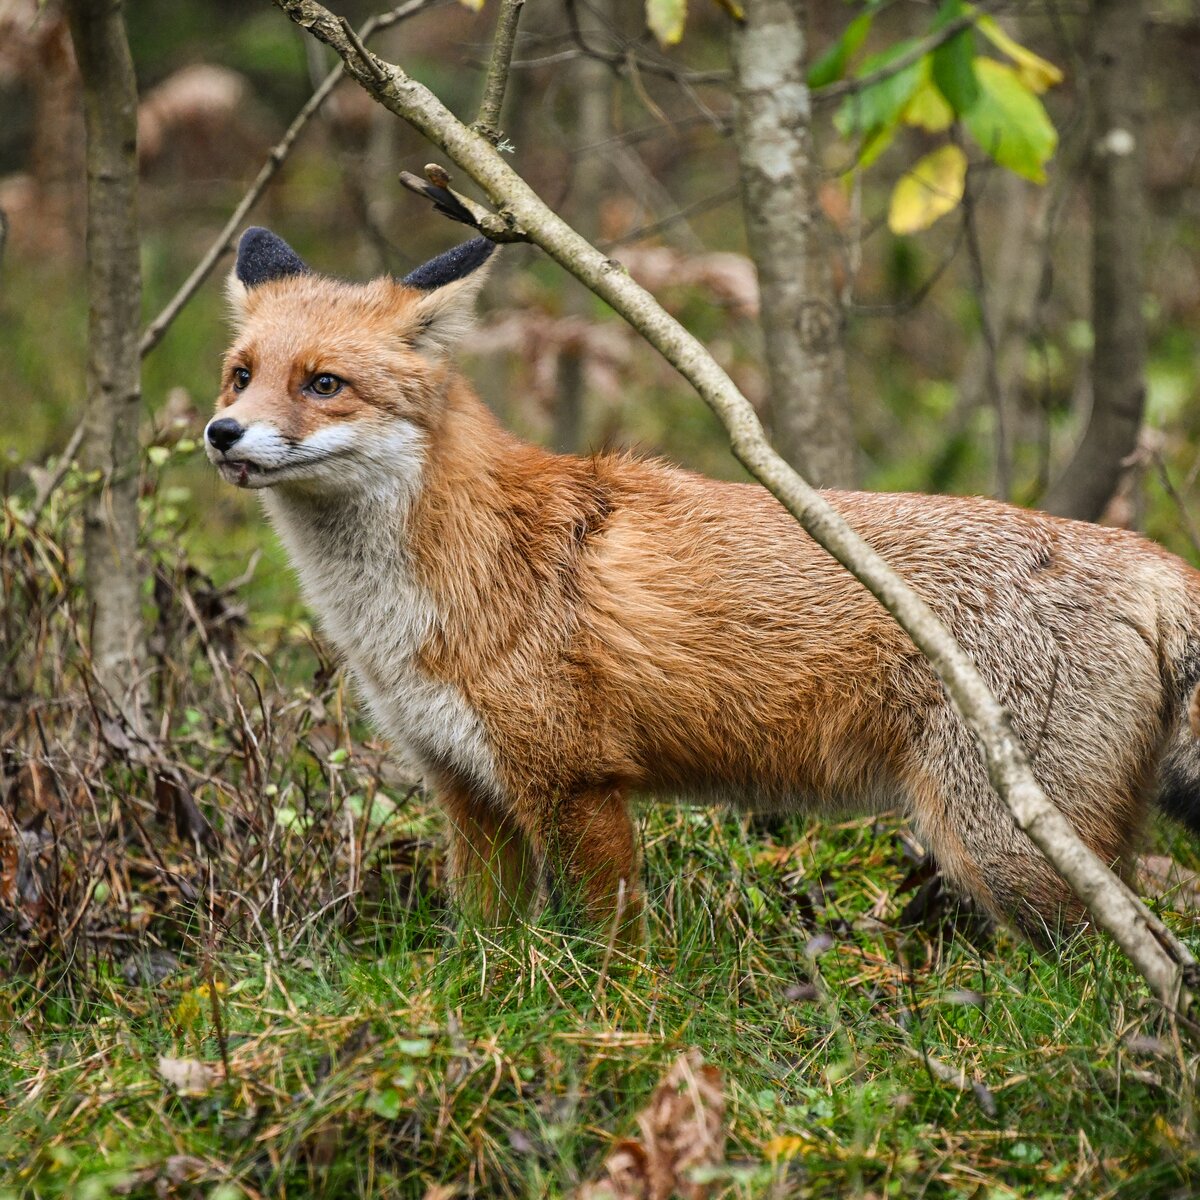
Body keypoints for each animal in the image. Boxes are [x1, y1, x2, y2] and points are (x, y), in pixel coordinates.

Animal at [204, 225, 1200, 936]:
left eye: (323, 384)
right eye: (241, 376)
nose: (220, 433)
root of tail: (1147, 555)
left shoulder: (574, 783)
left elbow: (606, 943)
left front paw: (605, 1024)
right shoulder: (466, 787)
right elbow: (480, 943)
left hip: (1006, 845)